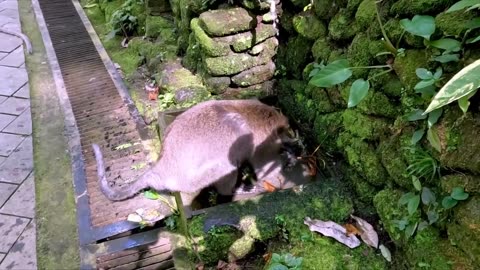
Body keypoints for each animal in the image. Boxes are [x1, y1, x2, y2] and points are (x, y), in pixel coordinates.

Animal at [92, 98, 296, 206]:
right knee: (226, 166)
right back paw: (233, 190)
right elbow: (264, 167)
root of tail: (161, 169)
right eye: (285, 131)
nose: (290, 138)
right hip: (193, 180)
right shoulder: (259, 142)